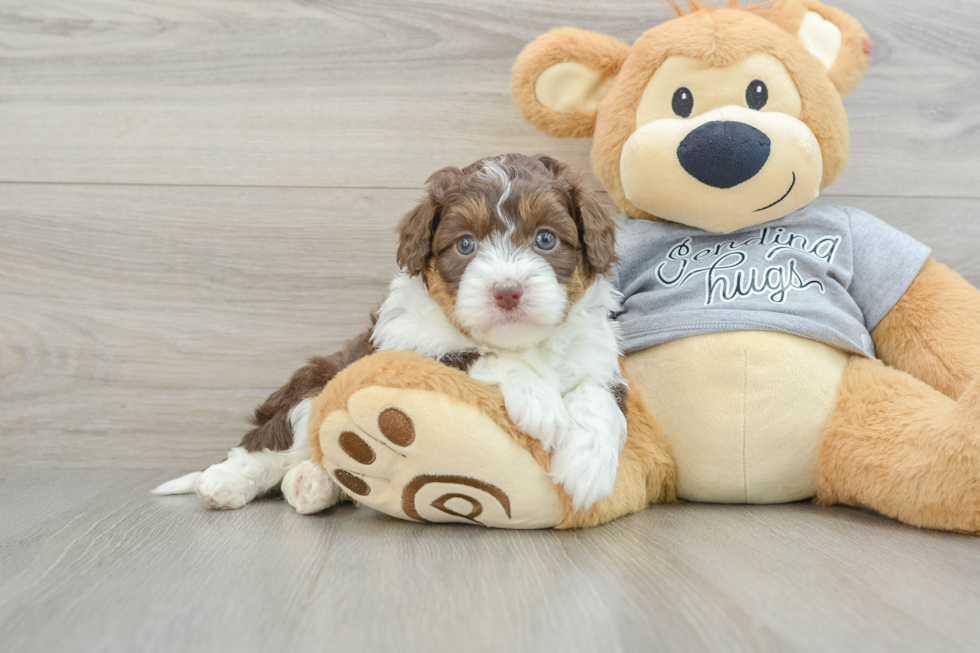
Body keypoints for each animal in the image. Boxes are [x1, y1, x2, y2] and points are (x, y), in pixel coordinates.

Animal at [153, 154, 628, 516]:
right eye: (465, 245)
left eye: (546, 239)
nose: (507, 291)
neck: (526, 342)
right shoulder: (402, 344)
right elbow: (475, 353)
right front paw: (540, 400)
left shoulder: (599, 359)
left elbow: (600, 399)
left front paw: (588, 467)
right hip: (317, 386)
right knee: (272, 441)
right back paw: (225, 482)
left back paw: (313, 484)